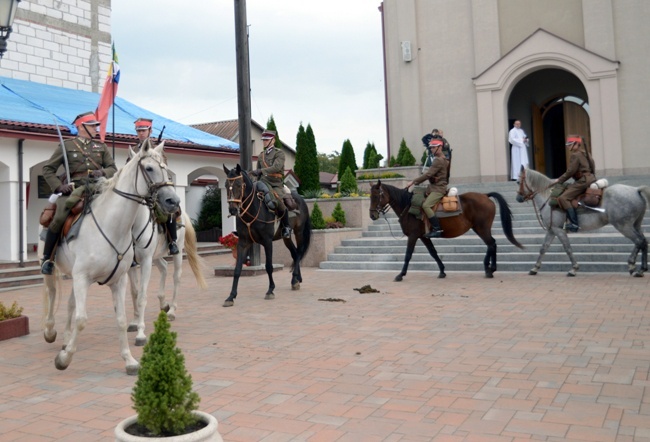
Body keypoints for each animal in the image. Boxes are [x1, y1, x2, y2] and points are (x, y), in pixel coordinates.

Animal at [41, 141, 178, 372]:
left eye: (166, 169)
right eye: (149, 168)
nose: (173, 201)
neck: (112, 226)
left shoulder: (118, 280)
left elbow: (121, 318)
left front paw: (130, 360)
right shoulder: (83, 277)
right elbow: (81, 319)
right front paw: (64, 359)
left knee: (70, 303)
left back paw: (66, 338)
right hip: (54, 270)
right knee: (51, 294)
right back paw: (50, 331)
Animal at [127, 207, 206, 346]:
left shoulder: (146, 262)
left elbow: (142, 296)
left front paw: (140, 334)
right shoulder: (132, 265)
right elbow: (134, 292)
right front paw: (135, 321)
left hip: (177, 252)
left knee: (176, 277)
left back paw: (171, 311)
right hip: (156, 256)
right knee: (164, 267)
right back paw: (163, 303)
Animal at [223, 164, 312, 306]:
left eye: (238, 184)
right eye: (226, 184)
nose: (232, 209)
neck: (253, 210)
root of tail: (301, 199)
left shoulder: (267, 241)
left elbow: (269, 266)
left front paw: (270, 290)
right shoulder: (243, 242)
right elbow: (237, 270)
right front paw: (231, 296)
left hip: (299, 231)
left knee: (299, 252)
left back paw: (294, 280)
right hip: (286, 237)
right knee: (294, 253)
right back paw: (297, 279)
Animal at [370, 180, 520, 280]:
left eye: (376, 196)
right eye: (370, 196)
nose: (372, 215)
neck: (408, 206)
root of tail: (485, 195)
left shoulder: (413, 236)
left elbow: (408, 255)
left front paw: (401, 274)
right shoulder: (423, 236)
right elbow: (433, 253)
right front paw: (442, 271)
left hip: (482, 228)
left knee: (491, 243)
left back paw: (489, 269)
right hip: (480, 228)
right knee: (492, 243)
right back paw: (491, 269)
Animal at [512, 168, 644, 276]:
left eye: (518, 182)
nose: (518, 198)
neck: (549, 199)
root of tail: (636, 190)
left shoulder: (559, 230)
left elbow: (567, 248)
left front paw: (574, 268)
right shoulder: (552, 230)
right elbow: (543, 248)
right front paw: (535, 268)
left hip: (623, 226)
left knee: (639, 241)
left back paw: (634, 266)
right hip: (635, 225)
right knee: (643, 241)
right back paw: (639, 269)